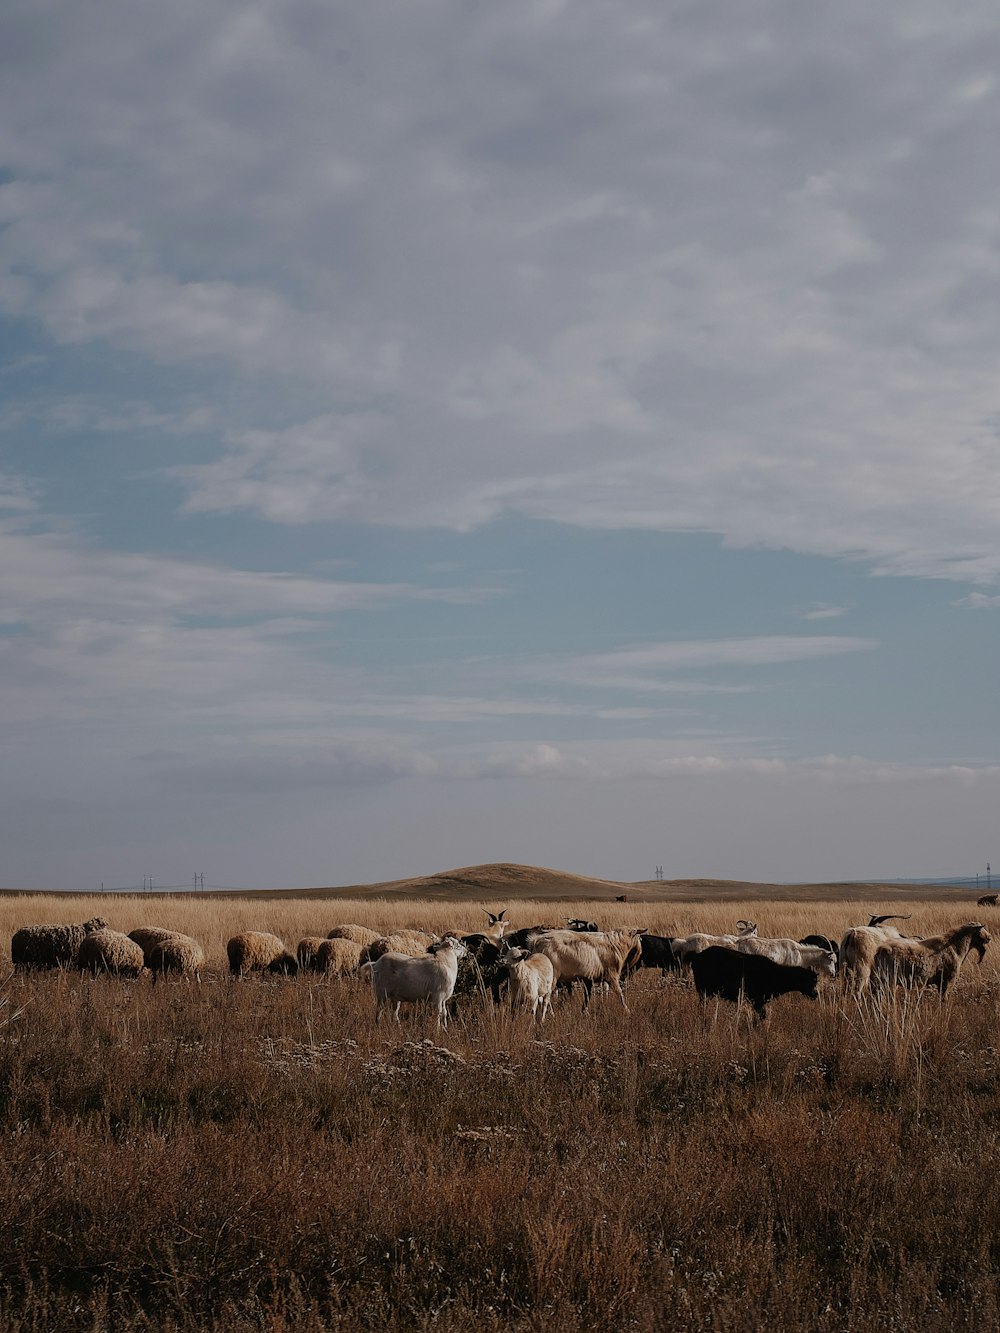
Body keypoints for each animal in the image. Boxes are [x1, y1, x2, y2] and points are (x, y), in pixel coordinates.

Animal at [688, 949, 821, 1018]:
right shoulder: (758, 1002)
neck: (776, 973)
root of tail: (696, 956)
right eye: (811, 981)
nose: (815, 994)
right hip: (704, 992)